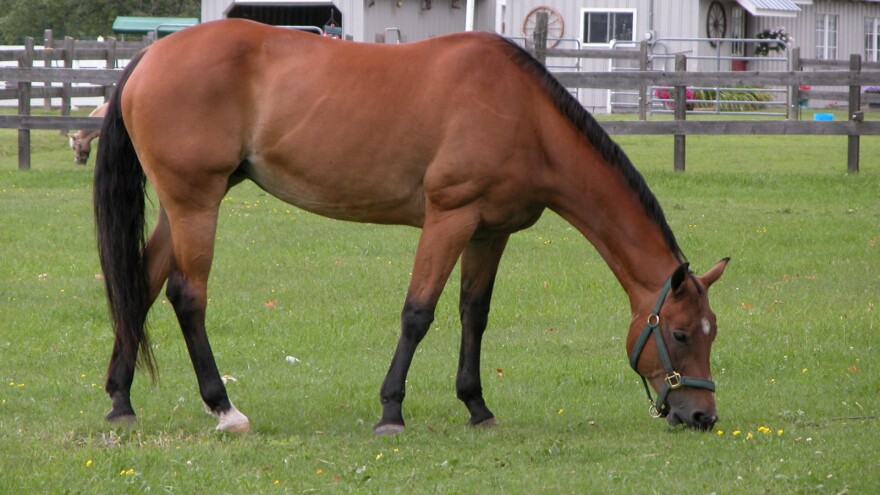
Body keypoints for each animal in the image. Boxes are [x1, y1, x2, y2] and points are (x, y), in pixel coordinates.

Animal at [96, 17, 728, 436]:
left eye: (711, 332)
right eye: (678, 334)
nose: (701, 415)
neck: (525, 115)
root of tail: (150, 57)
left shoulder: (489, 231)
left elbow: (474, 315)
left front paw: (477, 407)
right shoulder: (450, 217)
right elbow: (418, 313)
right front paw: (391, 411)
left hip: (187, 203)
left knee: (141, 284)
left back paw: (121, 401)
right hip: (196, 202)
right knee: (186, 295)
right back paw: (224, 408)